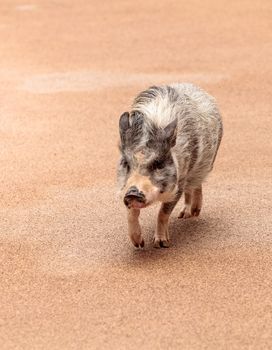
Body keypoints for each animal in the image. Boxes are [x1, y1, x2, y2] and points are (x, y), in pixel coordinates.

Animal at [117, 83, 223, 247]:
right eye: (126, 163)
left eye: (159, 163)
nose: (133, 193)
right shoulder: (125, 190)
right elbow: (131, 213)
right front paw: (138, 244)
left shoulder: (179, 182)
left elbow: (163, 212)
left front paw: (161, 244)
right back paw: (184, 215)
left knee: (196, 184)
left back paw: (192, 213)